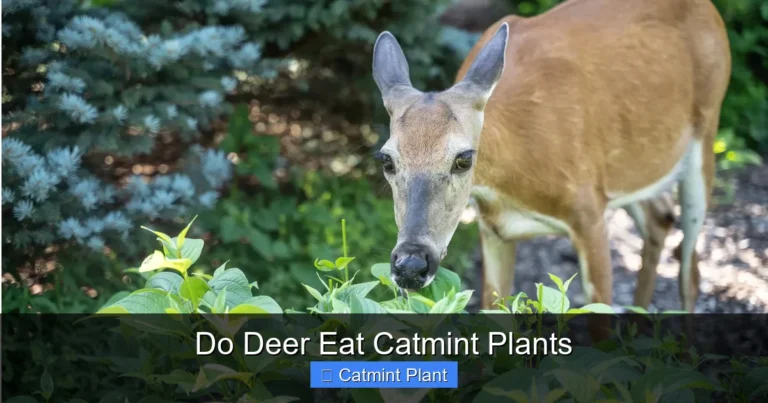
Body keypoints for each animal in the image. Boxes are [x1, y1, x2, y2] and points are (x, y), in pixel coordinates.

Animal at [371, 0, 729, 312]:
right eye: (386, 160)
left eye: (464, 158)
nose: (411, 264)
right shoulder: (493, 229)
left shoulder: (589, 213)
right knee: (660, 217)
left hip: (706, 133)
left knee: (691, 272)